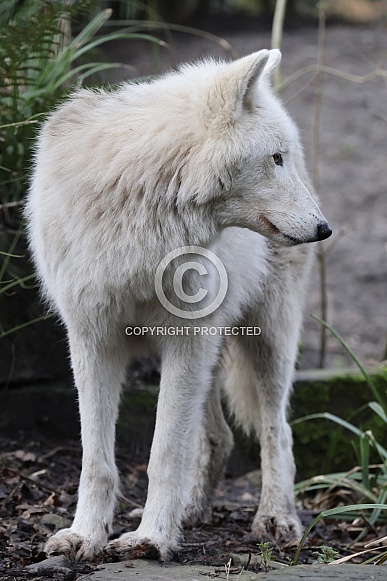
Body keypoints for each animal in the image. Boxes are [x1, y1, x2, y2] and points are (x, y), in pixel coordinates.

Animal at [25, 51, 332, 560]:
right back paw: (192, 511)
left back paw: (276, 518)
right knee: (218, 437)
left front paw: (150, 538)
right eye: (275, 158)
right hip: (209, 354)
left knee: (277, 431)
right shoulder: (91, 339)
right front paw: (86, 535)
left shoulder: (187, 340)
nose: (325, 228)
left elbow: (164, 452)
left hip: (266, 339)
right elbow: (96, 458)